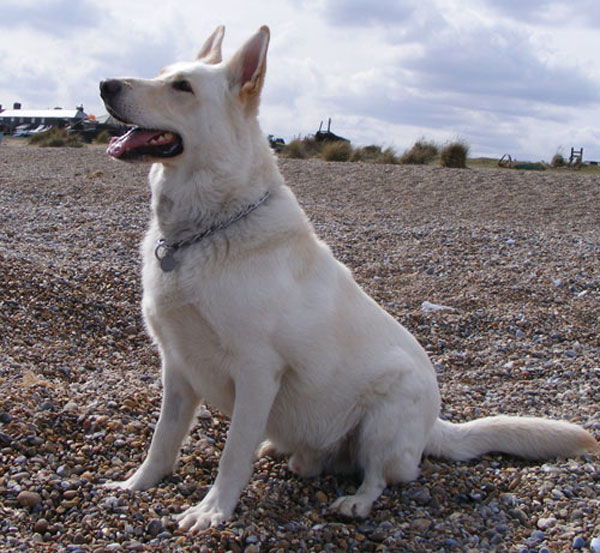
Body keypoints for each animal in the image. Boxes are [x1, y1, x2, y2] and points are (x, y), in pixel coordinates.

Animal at [99, 24, 600, 532]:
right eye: (161, 72)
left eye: (182, 87)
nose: (105, 85)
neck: (204, 230)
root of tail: (434, 426)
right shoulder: (177, 367)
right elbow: (162, 440)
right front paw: (137, 486)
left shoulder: (257, 372)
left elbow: (232, 453)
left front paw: (213, 510)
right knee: (314, 461)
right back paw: (284, 451)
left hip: (385, 415)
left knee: (385, 475)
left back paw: (356, 501)